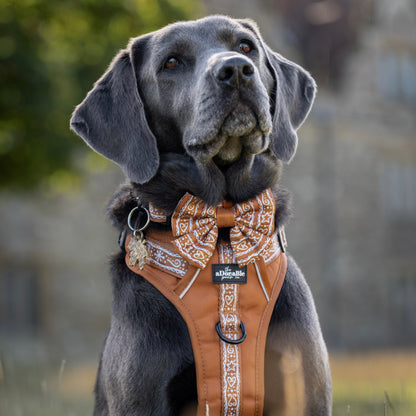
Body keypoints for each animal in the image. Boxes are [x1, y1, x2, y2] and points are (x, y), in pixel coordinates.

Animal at [70, 14, 332, 416]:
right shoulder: (144, 396)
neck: (222, 223)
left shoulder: (305, 389)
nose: (236, 70)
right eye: (171, 63)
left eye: (245, 46)